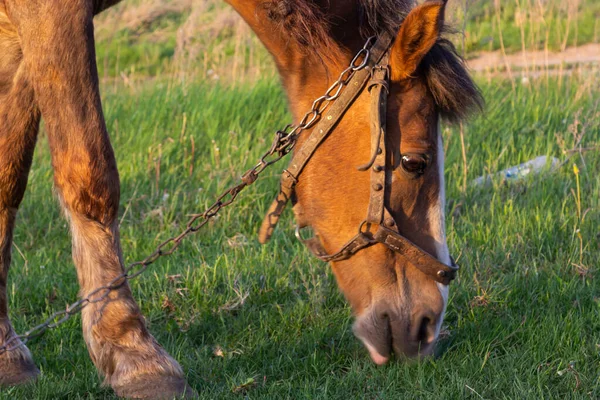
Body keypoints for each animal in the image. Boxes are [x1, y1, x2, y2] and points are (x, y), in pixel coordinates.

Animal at [0, 0, 478, 396]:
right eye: (414, 162)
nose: (428, 323)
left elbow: (8, 179)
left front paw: (7, 353)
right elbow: (91, 176)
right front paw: (134, 355)